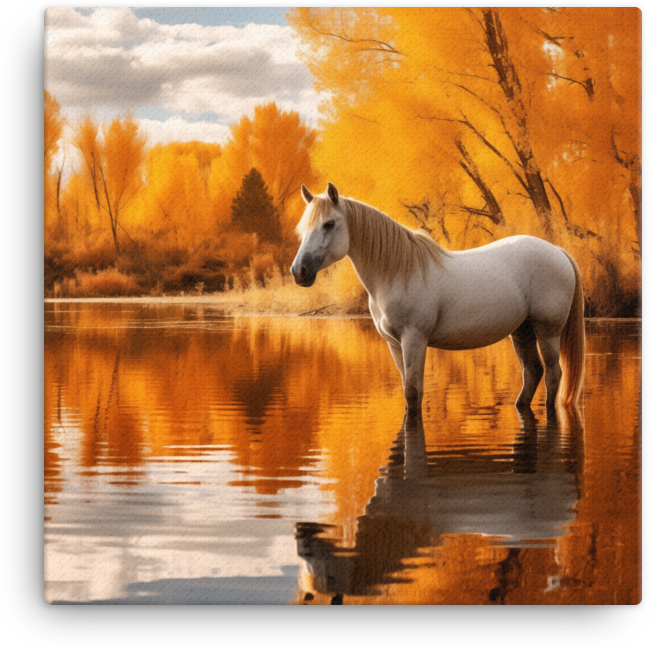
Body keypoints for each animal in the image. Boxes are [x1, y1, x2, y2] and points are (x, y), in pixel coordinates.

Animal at [290, 183, 585, 414]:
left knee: (553, 374)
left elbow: (413, 392)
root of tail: (558, 251)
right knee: (533, 372)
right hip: (522, 331)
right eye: (303, 228)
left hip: (547, 330)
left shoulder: (414, 340)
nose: (299, 271)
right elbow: (407, 390)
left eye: (329, 224)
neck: (397, 272)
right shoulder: (394, 345)